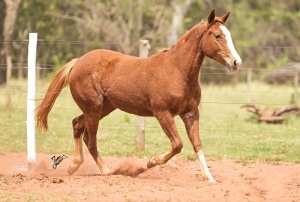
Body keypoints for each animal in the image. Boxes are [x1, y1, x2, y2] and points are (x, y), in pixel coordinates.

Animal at [36, 10, 241, 182]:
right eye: (217, 35)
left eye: (229, 34)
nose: (236, 62)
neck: (177, 71)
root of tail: (77, 62)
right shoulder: (163, 113)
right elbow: (177, 144)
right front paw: (149, 162)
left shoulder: (191, 113)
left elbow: (197, 144)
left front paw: (210, 178)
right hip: (93, 108)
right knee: (90, 138)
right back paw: (107, 171)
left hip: (103, 108)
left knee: (77, 125)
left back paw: (74, 166)